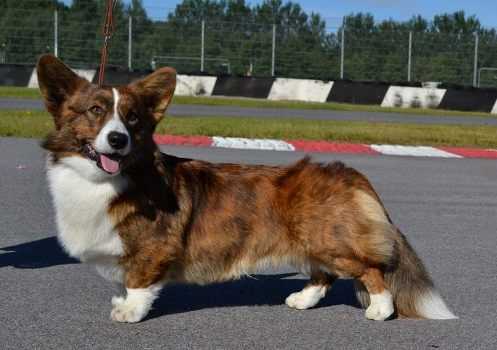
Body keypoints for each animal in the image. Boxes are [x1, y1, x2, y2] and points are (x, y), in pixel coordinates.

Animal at [35, 53, 458, 324]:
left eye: (133, 118)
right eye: (95, 111)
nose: (118, 139)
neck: (105, 179)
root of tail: (349, 174)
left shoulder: (153, 250)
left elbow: (139, 282)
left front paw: (128, 311)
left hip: (332, 241)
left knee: (371, 270)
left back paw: (380, 310)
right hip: (312, 241)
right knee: (325, 275)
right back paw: (301, 300)